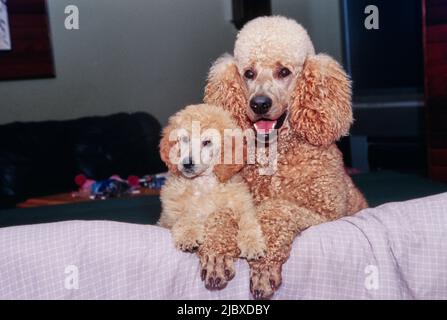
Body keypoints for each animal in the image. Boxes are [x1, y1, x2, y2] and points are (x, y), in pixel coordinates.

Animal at [159, 104, 268, 288]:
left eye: (206, 142)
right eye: (185, 139)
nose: (187, 163)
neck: (203, 183)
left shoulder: (241, 205)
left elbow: (248, 221)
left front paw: (253, 243)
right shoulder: (171, 213)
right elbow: (185, 215)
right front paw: (188, 235)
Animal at [205, 15, 370, 300]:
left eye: (284, 72)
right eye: (248, 73)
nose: (259, 103)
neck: (274, 157)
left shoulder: (324, 213)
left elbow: (277, 210)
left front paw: (263, 266)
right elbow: (222, 213)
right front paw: (216, 253)